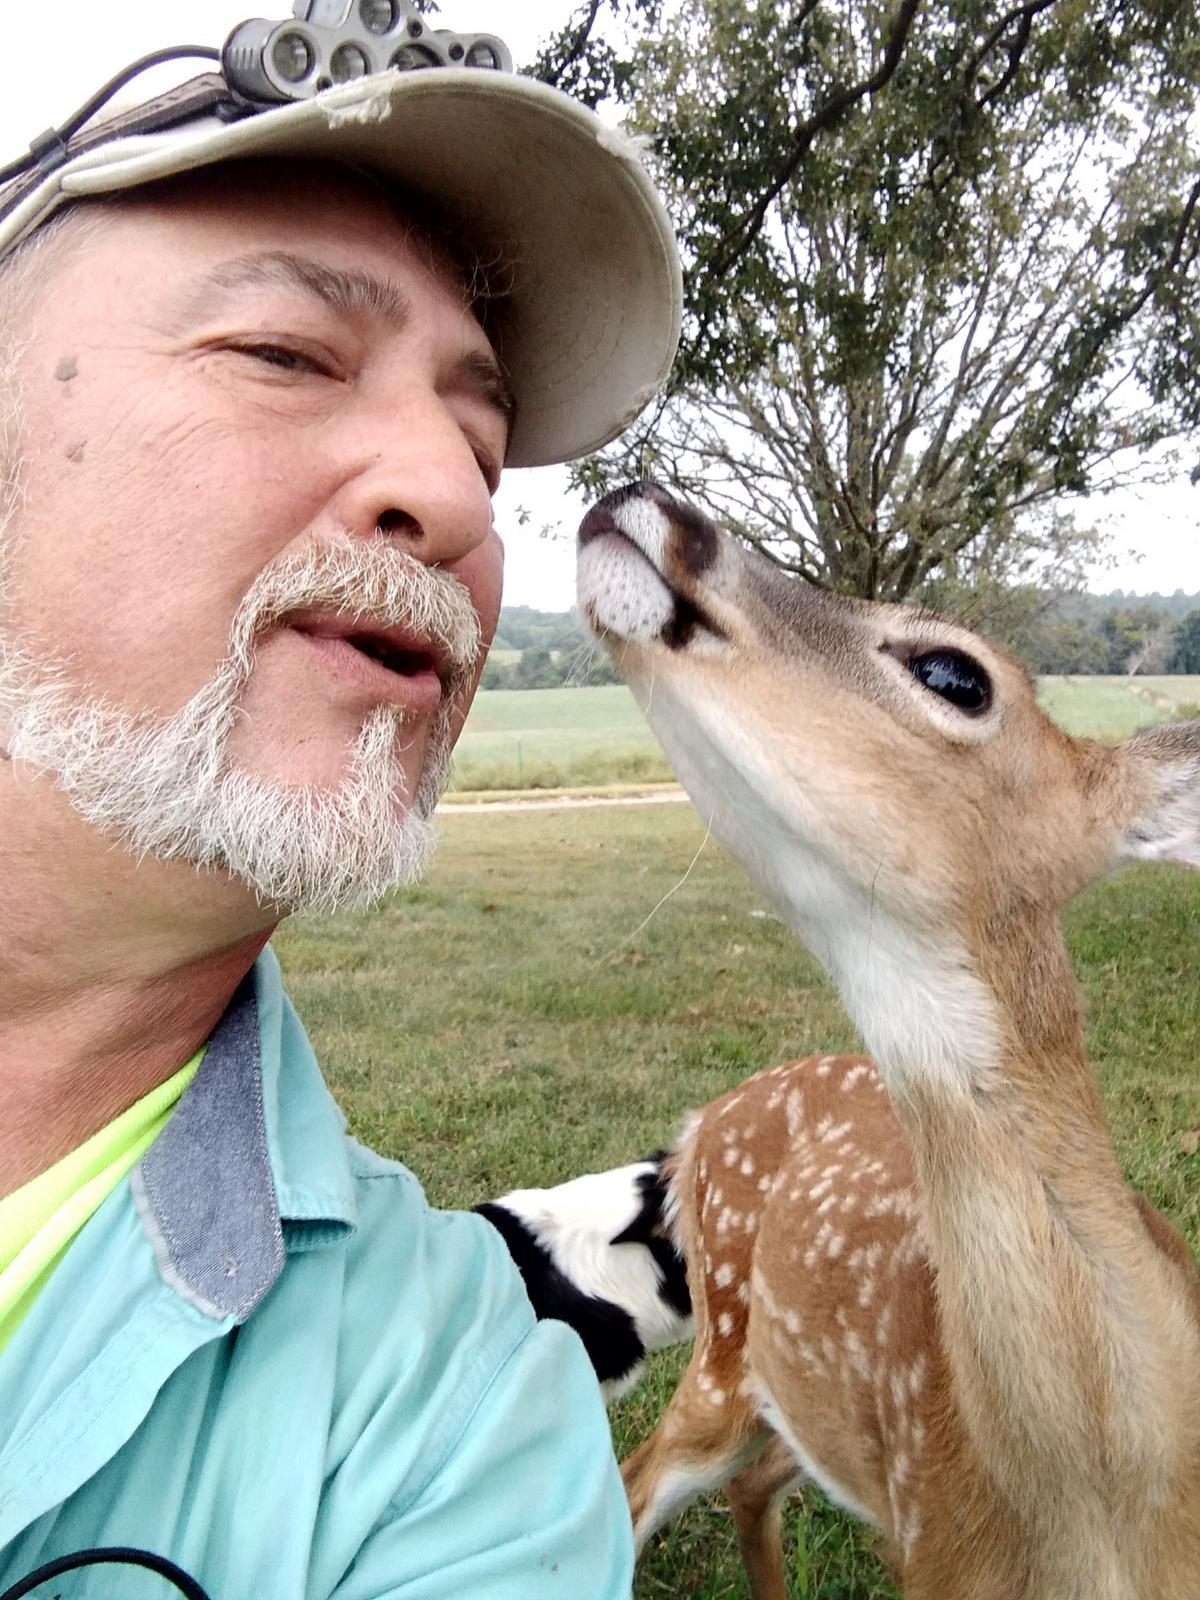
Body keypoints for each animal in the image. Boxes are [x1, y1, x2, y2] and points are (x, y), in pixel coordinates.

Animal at [575, 480, 1200, 1600]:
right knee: (642, 1481)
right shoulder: (935, 1553)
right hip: (726, 1348)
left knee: (752, 1484)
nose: (637, 494)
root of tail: (696, 1129)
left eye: (953, 673)